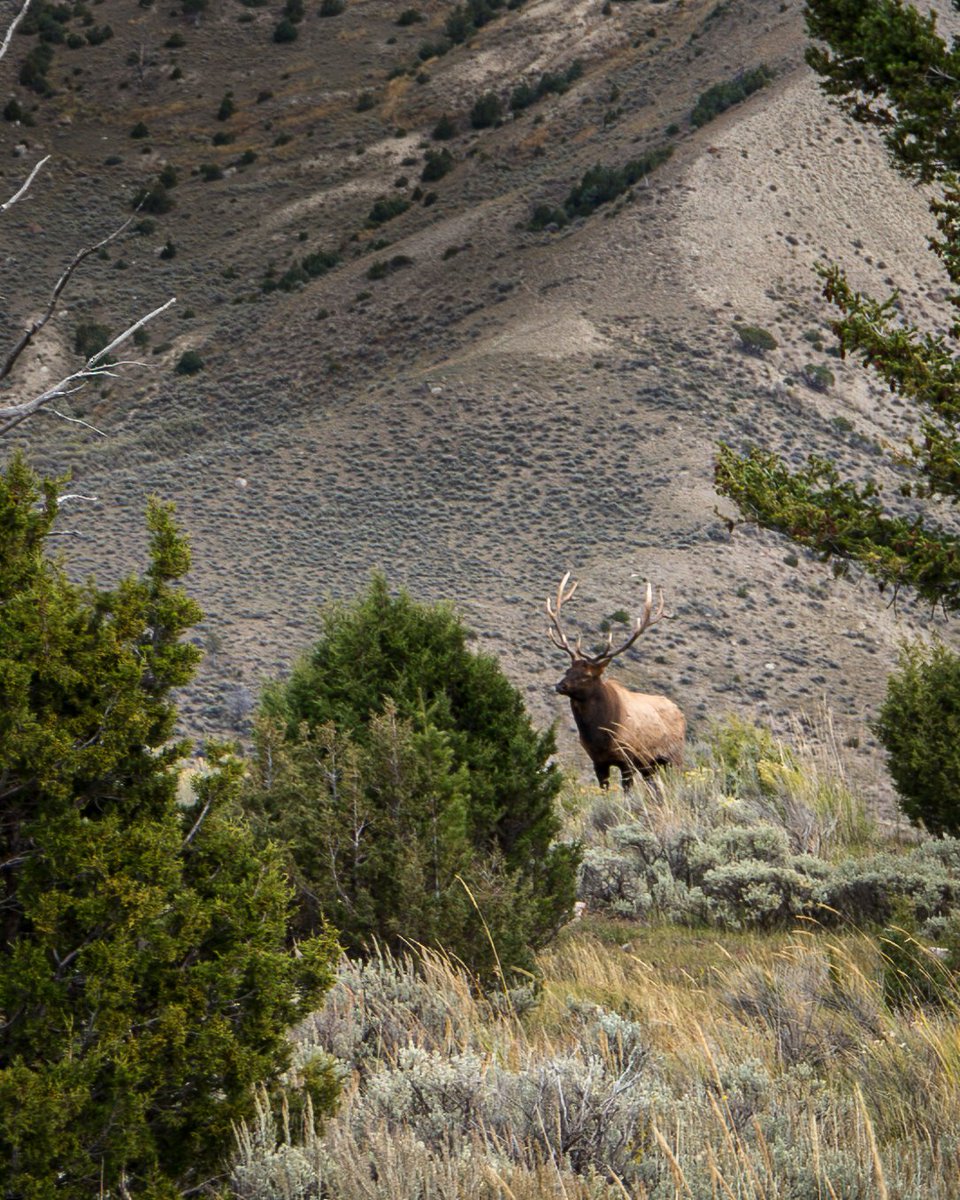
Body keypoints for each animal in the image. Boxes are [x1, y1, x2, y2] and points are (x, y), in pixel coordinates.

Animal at [547, 573, 685, 791]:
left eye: (587, 675)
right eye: (568, 670)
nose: (560, 685)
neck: (599, 736)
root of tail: (679, 712)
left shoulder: (627, 757)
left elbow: (627, 791)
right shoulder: (598, 761)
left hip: (674, 756)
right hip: (650, 765)